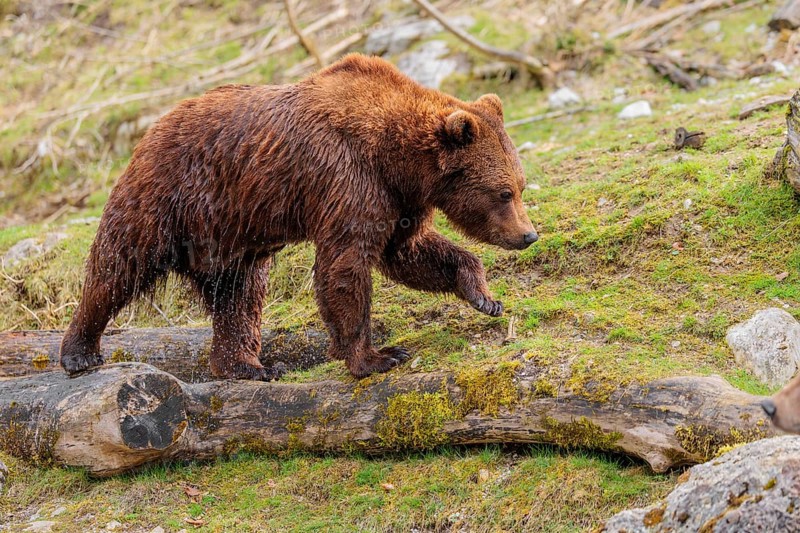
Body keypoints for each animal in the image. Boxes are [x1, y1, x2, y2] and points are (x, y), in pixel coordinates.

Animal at [60, 54, 538, 380]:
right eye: (503, 192)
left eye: (520, 185)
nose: (528, 234)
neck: (396, 158)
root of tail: (150, 131)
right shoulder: (346, 178)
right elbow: (345, 266)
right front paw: (375, 356)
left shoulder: (397, 200)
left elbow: (407, 252)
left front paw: (485, 297)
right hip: (168, 197)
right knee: (118, 265)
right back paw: (79, 351)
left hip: (231, 235)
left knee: (239, 296)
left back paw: (247, 365)